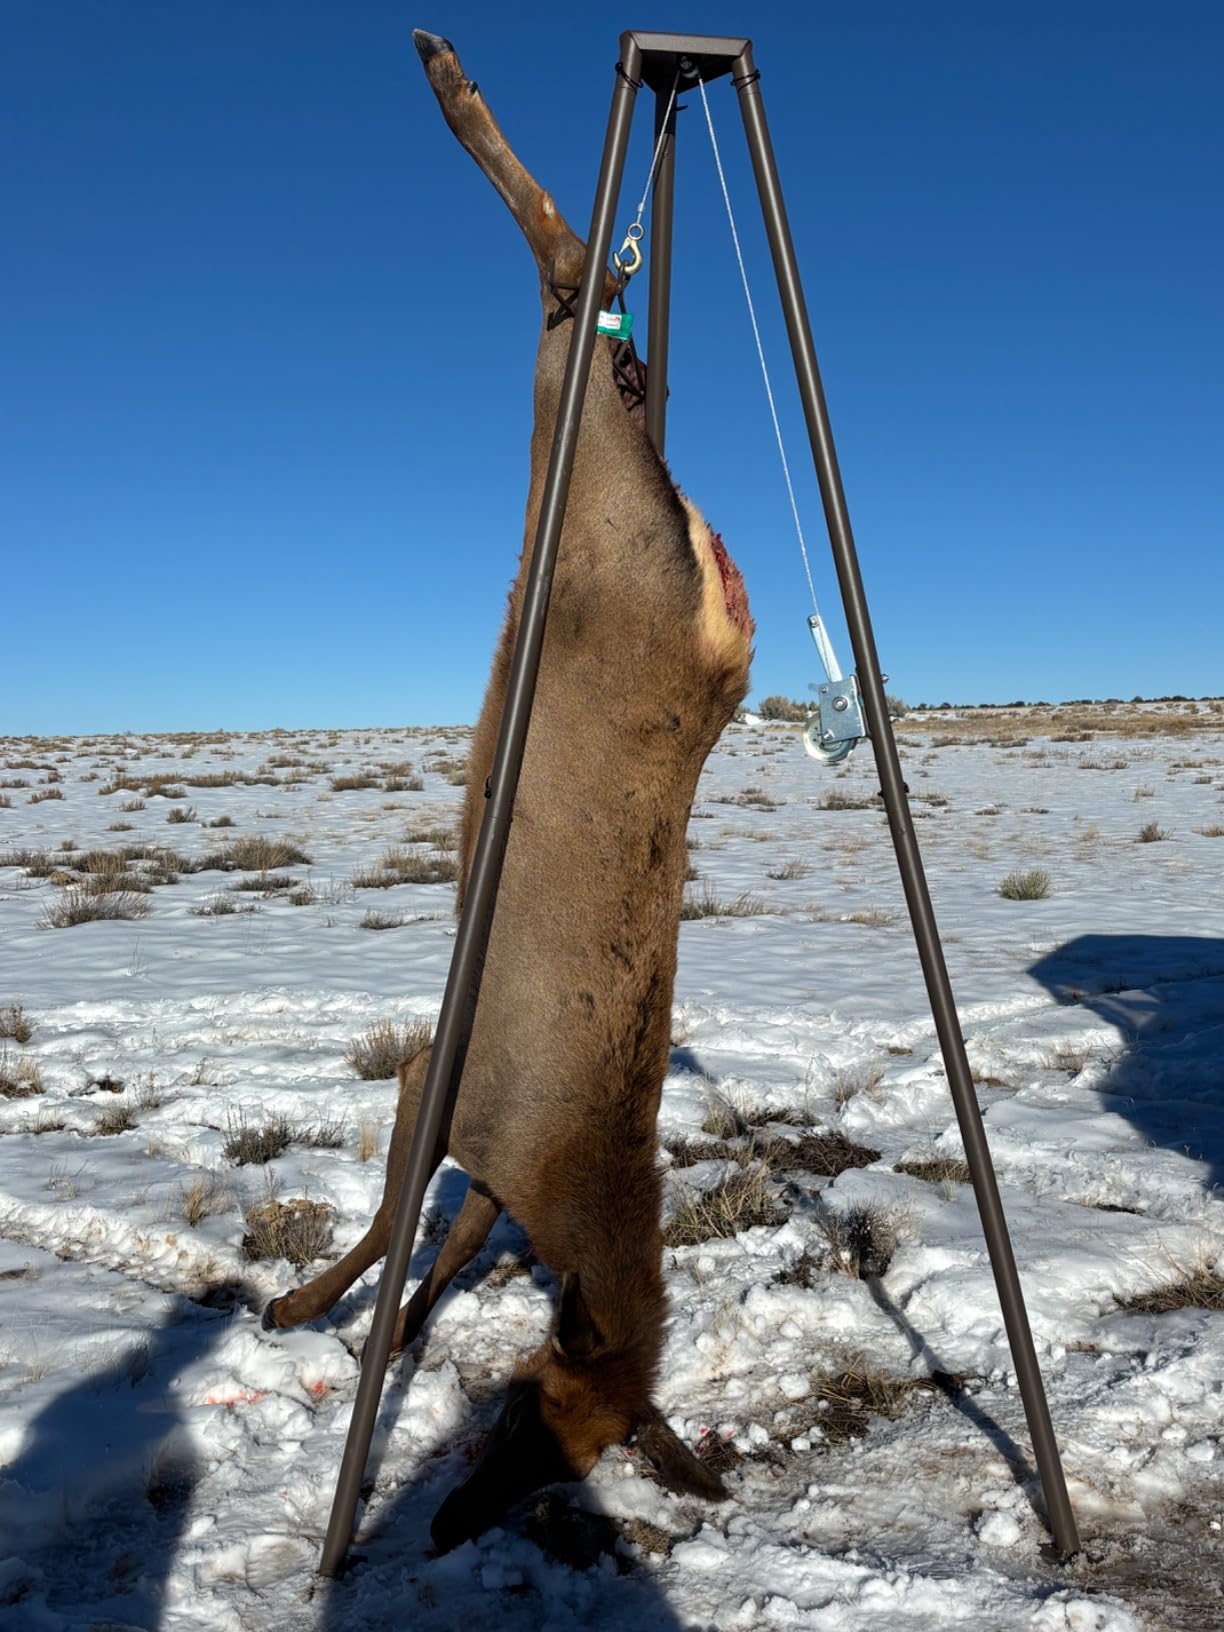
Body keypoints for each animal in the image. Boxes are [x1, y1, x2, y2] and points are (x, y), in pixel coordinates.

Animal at [262, 28, 754, 1553]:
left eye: (560, 1451)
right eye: (532, 1416)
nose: (450, 1523)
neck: (579, 1189)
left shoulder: (476, 1138)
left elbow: (446, 1241)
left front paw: (396, 1319)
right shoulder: (448, 1078)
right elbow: (385, 1222)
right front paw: (302, 1302)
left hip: (569, 458)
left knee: (576, 287)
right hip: (588, 473)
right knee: (580, 273)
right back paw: (445, 72)